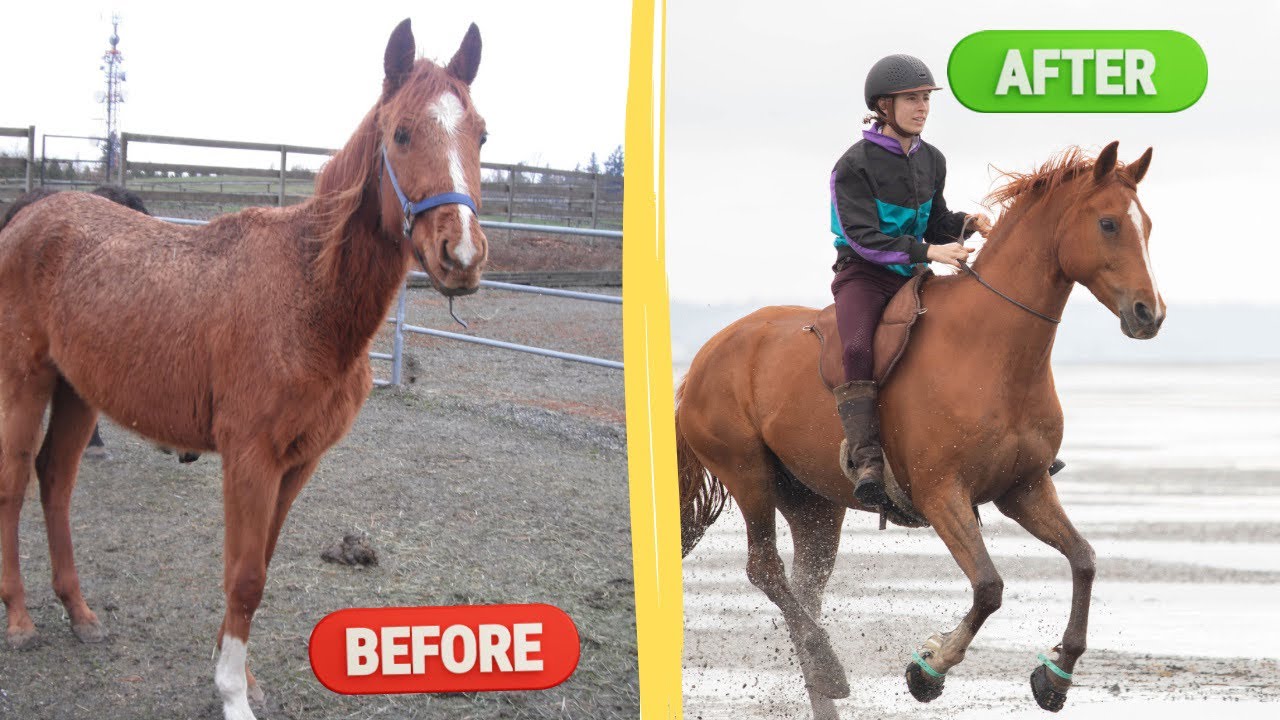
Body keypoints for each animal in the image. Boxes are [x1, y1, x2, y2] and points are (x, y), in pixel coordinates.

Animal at [0, 19, 488, 720]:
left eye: (481, 134)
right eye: (400, 133)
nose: (463, 255)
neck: (306, 295)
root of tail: (32, 214)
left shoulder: (297, 463)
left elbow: (259, 564)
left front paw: (239, 674)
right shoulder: (250, 457)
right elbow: (246, 574)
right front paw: (233, 693)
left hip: (76, 392)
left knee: (55, 481)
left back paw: (81, 614)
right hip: (25, 381)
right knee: (14, 482)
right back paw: (20, 620)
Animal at [676, 142, 1163, 719]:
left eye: (1146, 225)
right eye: (1108, 223)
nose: (1149, 313)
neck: (991, 350)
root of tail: (702, 359)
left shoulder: (1024, 488)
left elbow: (1084, 561)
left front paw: (1055, 676)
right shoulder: (941, 493)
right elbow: (988, 586)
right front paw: (928, 668)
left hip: (815, 505)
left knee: (805, 588)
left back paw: (824, 683)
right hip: (747, 474)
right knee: (766, 570)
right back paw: (832, 668)